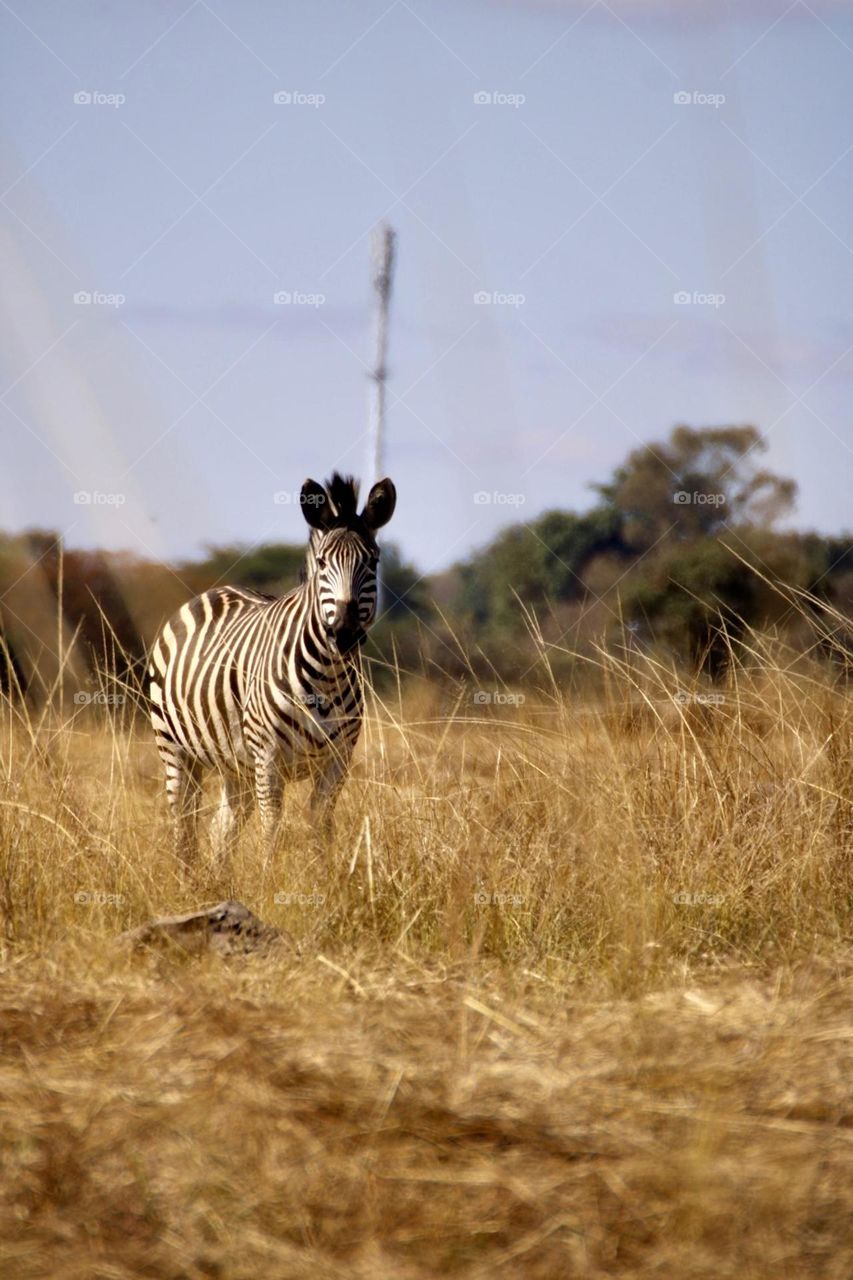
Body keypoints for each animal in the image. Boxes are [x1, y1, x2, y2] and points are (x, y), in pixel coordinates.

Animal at [147, 473, 396, 868]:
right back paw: (187, 877)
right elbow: (272, 829)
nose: (344, 634)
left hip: (236, 765)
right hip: (175, 749)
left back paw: (218, 878)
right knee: (183, 824)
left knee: (221, 828)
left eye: (372, 562)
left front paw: (325, 877)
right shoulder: (268, 759)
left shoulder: (338, 759)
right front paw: (270, 878)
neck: (327, 677)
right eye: (322, 563)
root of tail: (213, 592)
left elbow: (321, 825)